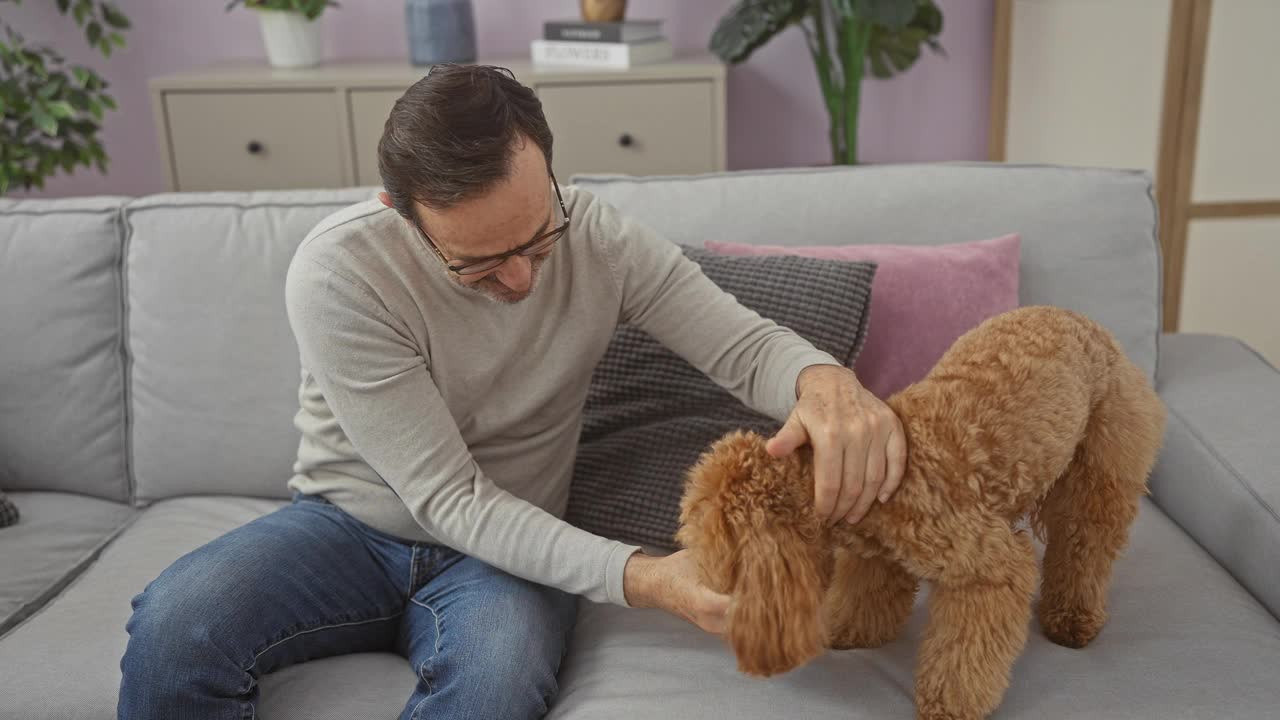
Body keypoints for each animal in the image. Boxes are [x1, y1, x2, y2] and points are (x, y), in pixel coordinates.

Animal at [680, 303, 1172, 717]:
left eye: (715, 541)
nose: (698, 569)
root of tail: (1087, 323)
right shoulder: (875, 553)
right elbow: (866, 597)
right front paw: (849, 631)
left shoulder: (989, 568)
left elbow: (965, 652)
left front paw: (949, 704)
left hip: (1101, 468)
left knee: (1084, 545)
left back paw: (1072, 618)